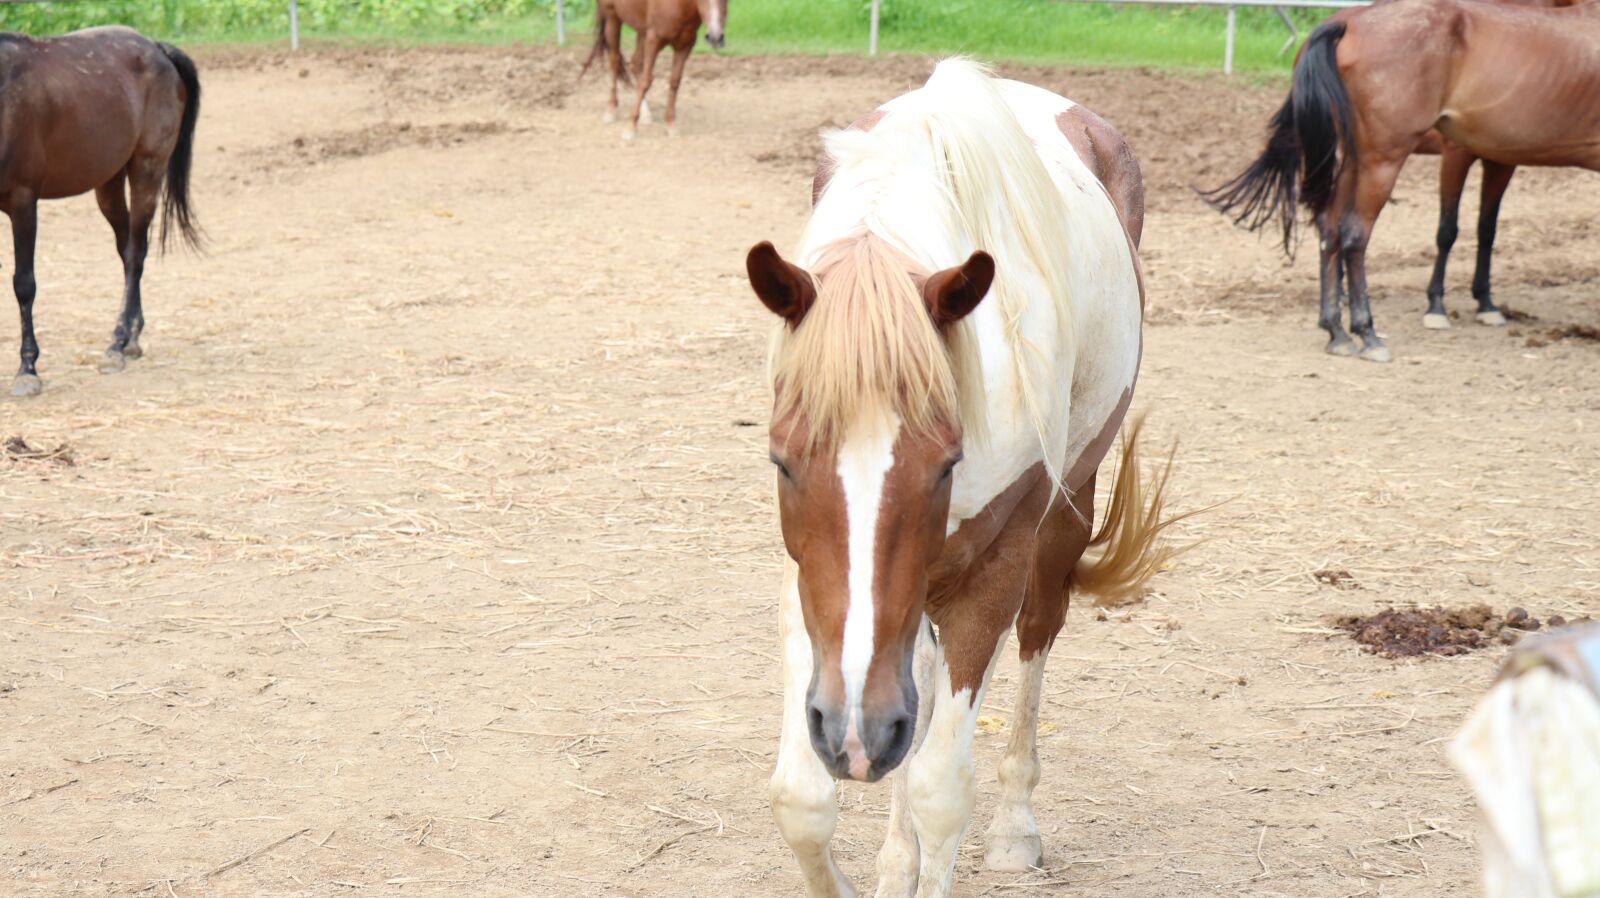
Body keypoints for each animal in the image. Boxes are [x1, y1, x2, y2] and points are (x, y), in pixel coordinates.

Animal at [0, 27, 201, 395]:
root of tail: (156, 47)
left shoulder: (23, 203)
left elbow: (24, 284)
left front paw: (27, 369)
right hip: (108, 183)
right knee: (127, 250)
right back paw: (132, 336)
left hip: (147, 171)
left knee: (135, 254)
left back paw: (117, 344)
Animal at [579, 0, 729, 138]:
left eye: (726, 1)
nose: (716, 38)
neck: (681, 6)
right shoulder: (654, 39)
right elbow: (646, 81)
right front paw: (630, 128)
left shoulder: (685, 45)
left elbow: (674, 82)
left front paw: (671, 125)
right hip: (612, 18)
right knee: (615, 62)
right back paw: (610, 110)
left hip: (641, 30)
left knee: (635, 64)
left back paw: (645, 114)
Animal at [742, 59, 1184, 889]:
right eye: (782, 462)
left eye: (948, 463)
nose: (855, 733)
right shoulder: (812, 589)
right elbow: (799, 799)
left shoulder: (993, 569)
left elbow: (940, 791)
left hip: (1064, 514)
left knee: (1036, 634)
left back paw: (1014, 826)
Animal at [1203, 0, 1600, 356]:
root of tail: (1346, 24)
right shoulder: (1458, 155)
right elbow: (1448, 230)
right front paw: (1437, 308)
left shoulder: (1500, 160)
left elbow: (1486, 230)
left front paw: (1485, 303)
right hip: (1382, 161)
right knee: (1354, 236)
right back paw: (1366, 332)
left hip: (1355, 161)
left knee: (1330, 228)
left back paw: (1336, 330)